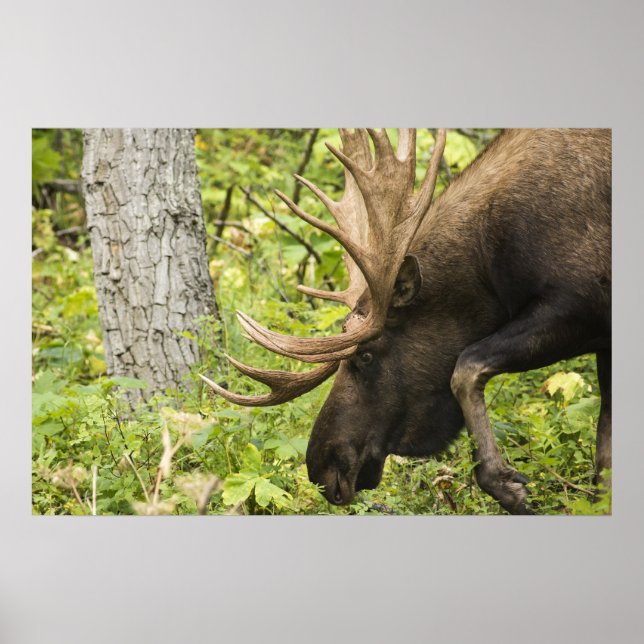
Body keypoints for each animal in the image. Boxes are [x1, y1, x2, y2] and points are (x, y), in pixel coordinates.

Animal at [200, 128, 611, 515]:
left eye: (364, 355)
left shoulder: (579, 304)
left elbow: (466, 366)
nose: (322, 468)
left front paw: (510, 486)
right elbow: (603, 456)